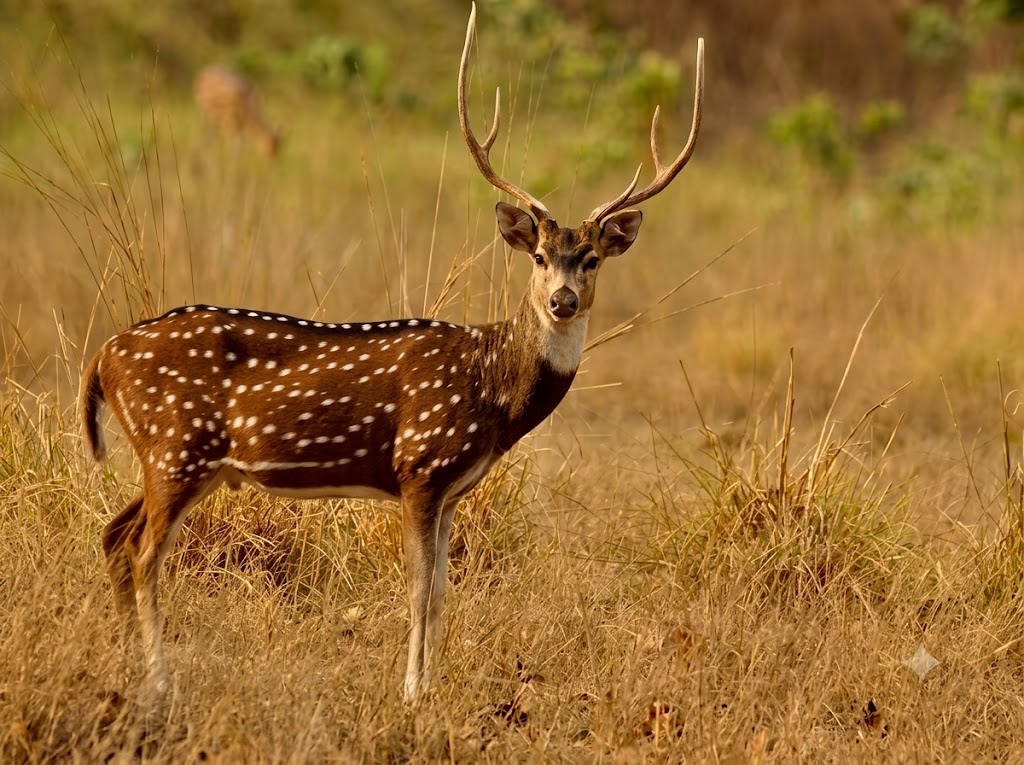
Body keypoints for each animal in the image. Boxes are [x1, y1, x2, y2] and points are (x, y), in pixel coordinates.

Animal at [81, 4, 704, 704]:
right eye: (540, 257)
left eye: (591, 258)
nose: (563, 301)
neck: (492, 389)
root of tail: (102, 357)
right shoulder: (419, 466)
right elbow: (417, 592)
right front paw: (410, 693)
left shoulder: (454, 489)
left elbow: (442, 595)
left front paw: (430, 687)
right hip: (177, 447)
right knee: (142, 553)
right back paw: (161, 684)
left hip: (176, 458)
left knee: (113, 536)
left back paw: (130, 668)